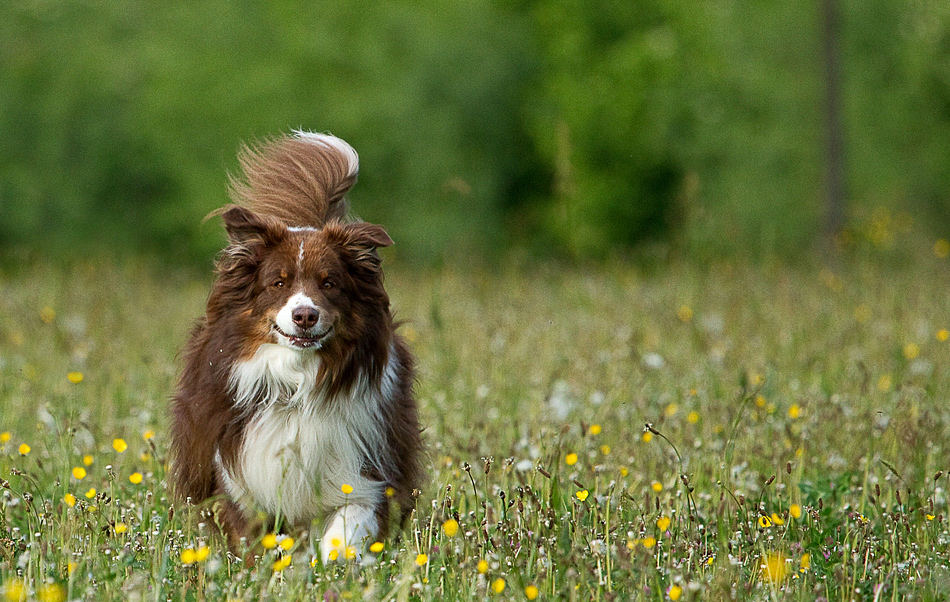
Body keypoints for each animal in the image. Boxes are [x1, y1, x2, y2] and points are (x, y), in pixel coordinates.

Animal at [170, 129, 424, 560]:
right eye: (278, 282)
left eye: (329, 283)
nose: (305, 315)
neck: (297, 383)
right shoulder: (239, 467)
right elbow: (254, 532)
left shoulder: (367, 462)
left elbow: (348, 525)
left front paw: (331, 564)